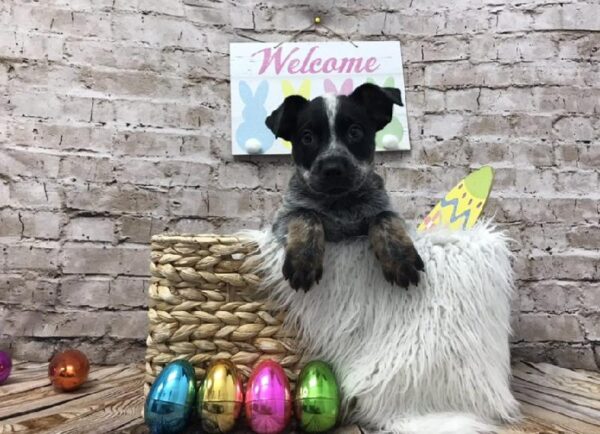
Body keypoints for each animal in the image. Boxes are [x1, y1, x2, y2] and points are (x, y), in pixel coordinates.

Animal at [264, 82, 424, 292]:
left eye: (354, 132)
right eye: (307, 138)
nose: (333, 169)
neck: (340, 202)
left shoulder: (387, 211)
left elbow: (384, 217)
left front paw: (400, 258)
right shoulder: (282, 219)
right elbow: (306, 214)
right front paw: (303, 260)